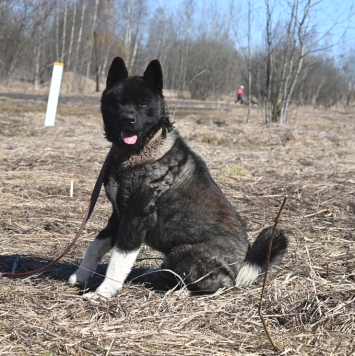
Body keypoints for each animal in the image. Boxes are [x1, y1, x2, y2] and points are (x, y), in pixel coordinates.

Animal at [67, 57, 290, 298]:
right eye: (119, 101)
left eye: (143, 103)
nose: (128, 119)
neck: (139, 151)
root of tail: (243, 264)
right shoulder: (118, 216)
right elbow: (95, 246)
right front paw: (80, 276)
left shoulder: (135, 219)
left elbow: (119, 259)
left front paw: (103, 292)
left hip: (183, 252)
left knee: (219, 284)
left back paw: (181, 290)